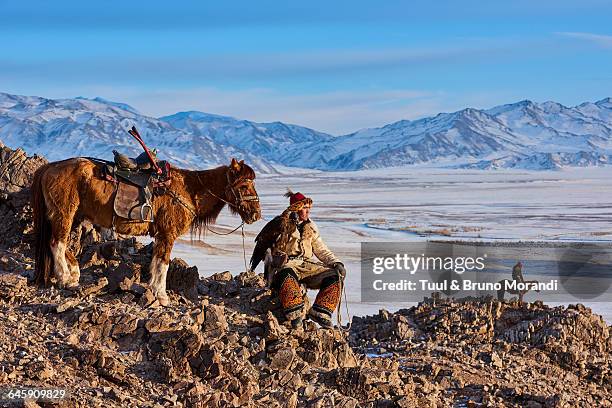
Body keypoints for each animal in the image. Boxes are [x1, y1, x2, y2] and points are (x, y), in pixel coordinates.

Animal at [31, 158, 260, 304]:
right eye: (244, 186)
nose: (256, 214)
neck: (189, 189)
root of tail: (50, 167)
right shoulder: (167, 234)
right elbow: (163, 264)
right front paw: (161, 295)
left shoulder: (161, 235)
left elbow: (156, 262)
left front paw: (154, 290)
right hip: (64, 214)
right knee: (57, 243)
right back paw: (64, 279)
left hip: (75, 216)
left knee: (63, 245)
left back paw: (73, 274)